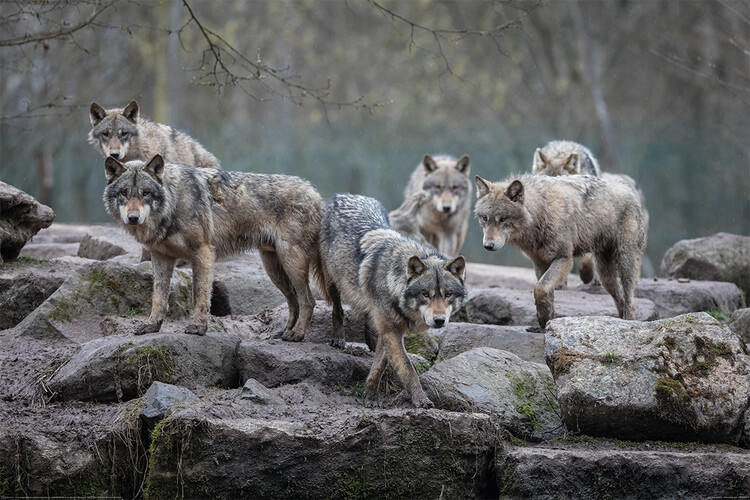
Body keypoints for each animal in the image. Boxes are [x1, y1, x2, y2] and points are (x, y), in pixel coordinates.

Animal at [103, 154, 323, 339]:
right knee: (294, 300)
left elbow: (199, 294)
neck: (174, 202)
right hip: (273, 269)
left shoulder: (203, 251)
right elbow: (158, 297)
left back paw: (297, 334)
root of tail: (316, 193)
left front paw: (199, 328)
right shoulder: (161, 257)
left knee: (308, 300)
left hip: (290, 262)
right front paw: (152, 325)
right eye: (124, 193)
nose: (133, 218)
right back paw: (285, 332)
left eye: (146, 193)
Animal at [320, 193, 467, 408]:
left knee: (369, 320)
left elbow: (380, 364)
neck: (394, 282)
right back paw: (338, 338)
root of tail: (345, 195)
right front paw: (420, 399)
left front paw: (370, 394)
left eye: (447, 294)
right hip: (332, 281)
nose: (439, 320)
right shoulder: (391, 331)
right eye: (426, 294)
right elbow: (407, 368)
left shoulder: (390, 331)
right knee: (337, 309)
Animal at [474, 173, 645, 329]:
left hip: (624, 262)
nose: (488, 245)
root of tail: (630, 190)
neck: (542, 212)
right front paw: (546, 321)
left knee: (630, 299)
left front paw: (544, 319)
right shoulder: (540, 262)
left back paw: (629, 322)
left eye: (503, 219)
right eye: (485, 218)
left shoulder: (564, 259)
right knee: (620, 298)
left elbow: (540, 288)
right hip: (605, 276)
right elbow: (545, 292)